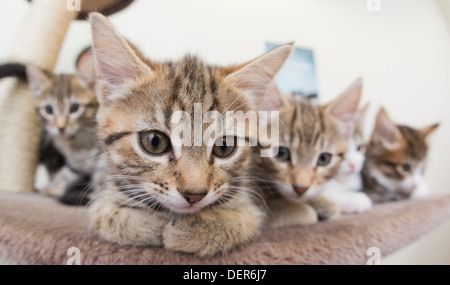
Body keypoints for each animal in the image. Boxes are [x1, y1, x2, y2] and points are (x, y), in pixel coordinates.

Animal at [27, 48, 100, 204]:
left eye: (74, 108)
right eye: (49, 110)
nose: (61, 127)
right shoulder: (75, 161)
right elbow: (67, 172)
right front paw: (53, 187)